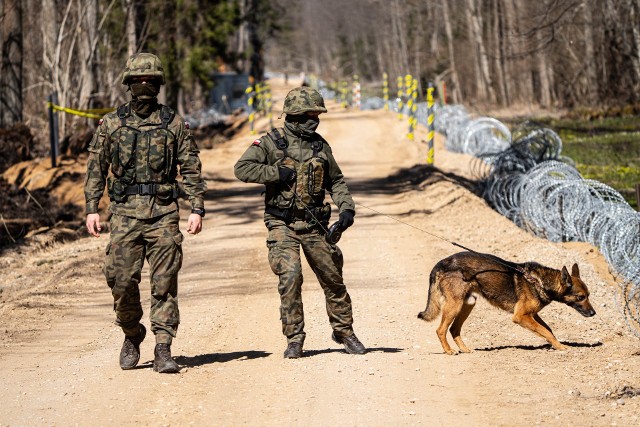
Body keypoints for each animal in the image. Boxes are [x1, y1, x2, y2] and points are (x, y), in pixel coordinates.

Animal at [418, 251, 596, 354]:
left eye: (588, 295)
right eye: (581, 297)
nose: (594, 313)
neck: (540, 281)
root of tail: (442, 263)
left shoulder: (532, 315)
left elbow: (548, 330)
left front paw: (554, 344)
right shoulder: (521, 316)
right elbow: (545, 331)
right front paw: (560, 347)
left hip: (468, 303)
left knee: (454, 329)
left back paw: (464, 349)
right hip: (455, 305)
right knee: (441, 330)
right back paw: (449, 351)